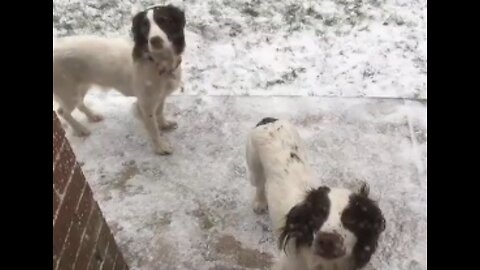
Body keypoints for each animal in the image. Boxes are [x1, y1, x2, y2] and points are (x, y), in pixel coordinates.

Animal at [53, 4, 186, 155]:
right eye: (144, 27)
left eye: (165, 21)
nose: (155, 40)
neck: (156, 62)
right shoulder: (145, 103)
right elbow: (153, 128)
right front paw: (160, 147)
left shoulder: (161, 96)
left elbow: (160, 112)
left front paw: (163, 124)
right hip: (67, 90)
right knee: (62, 112)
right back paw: (80, 129)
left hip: (80, 86)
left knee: (78, 104)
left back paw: (92, 116)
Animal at [248, 118, 386, 270]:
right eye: (317, 215)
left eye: (351, 219)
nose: (327, 240)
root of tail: (270, 120)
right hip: (254, 167)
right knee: (259, 185)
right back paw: (260, 203)